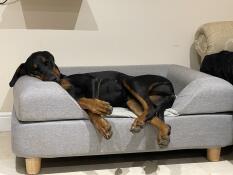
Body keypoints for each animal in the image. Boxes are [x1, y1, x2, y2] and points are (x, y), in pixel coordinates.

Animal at [10, 51, 176, 148]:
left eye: (48, 62)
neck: (63, 81)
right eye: (35, 70)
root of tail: (171, 88)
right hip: (131, 101)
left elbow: (87, 100)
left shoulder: (92, 81)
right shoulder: (74, 95)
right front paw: (102, 123)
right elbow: (82, 102)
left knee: (151, 107)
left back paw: (142, 123)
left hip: (131, 82)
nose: (53, 79)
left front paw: (102, 111)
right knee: (154, 114)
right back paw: (160, 132)